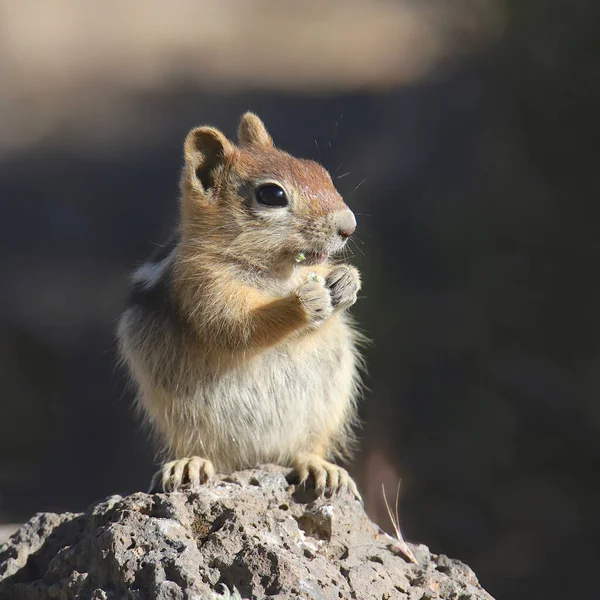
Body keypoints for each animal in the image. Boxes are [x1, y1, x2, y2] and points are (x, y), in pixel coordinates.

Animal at [115, 112, 364, 496]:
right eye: (272, 195)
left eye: (319, 171)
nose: (348, 226)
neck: (277, 274)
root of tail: (257, 456)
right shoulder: (203, 288)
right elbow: (237, 328)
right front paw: (305, 303)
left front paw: (346, 281)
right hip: (183, 417)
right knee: (202, 448)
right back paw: (189, 464)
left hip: (329, 401)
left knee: (306, 448)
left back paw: (320, 467)